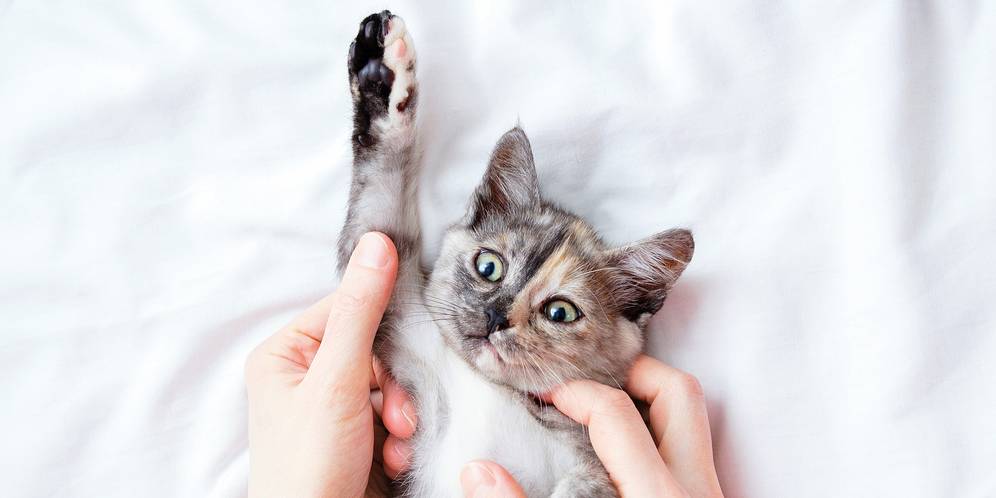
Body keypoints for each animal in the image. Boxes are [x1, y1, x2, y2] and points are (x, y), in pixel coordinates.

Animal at [336, 11, 692, 498]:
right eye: (489, 266)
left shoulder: (603, 464)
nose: (495, 317)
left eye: (560, 312)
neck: (500, 393)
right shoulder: (412, 336)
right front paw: (383, 72)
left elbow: (585, 489)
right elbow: (380, 221)